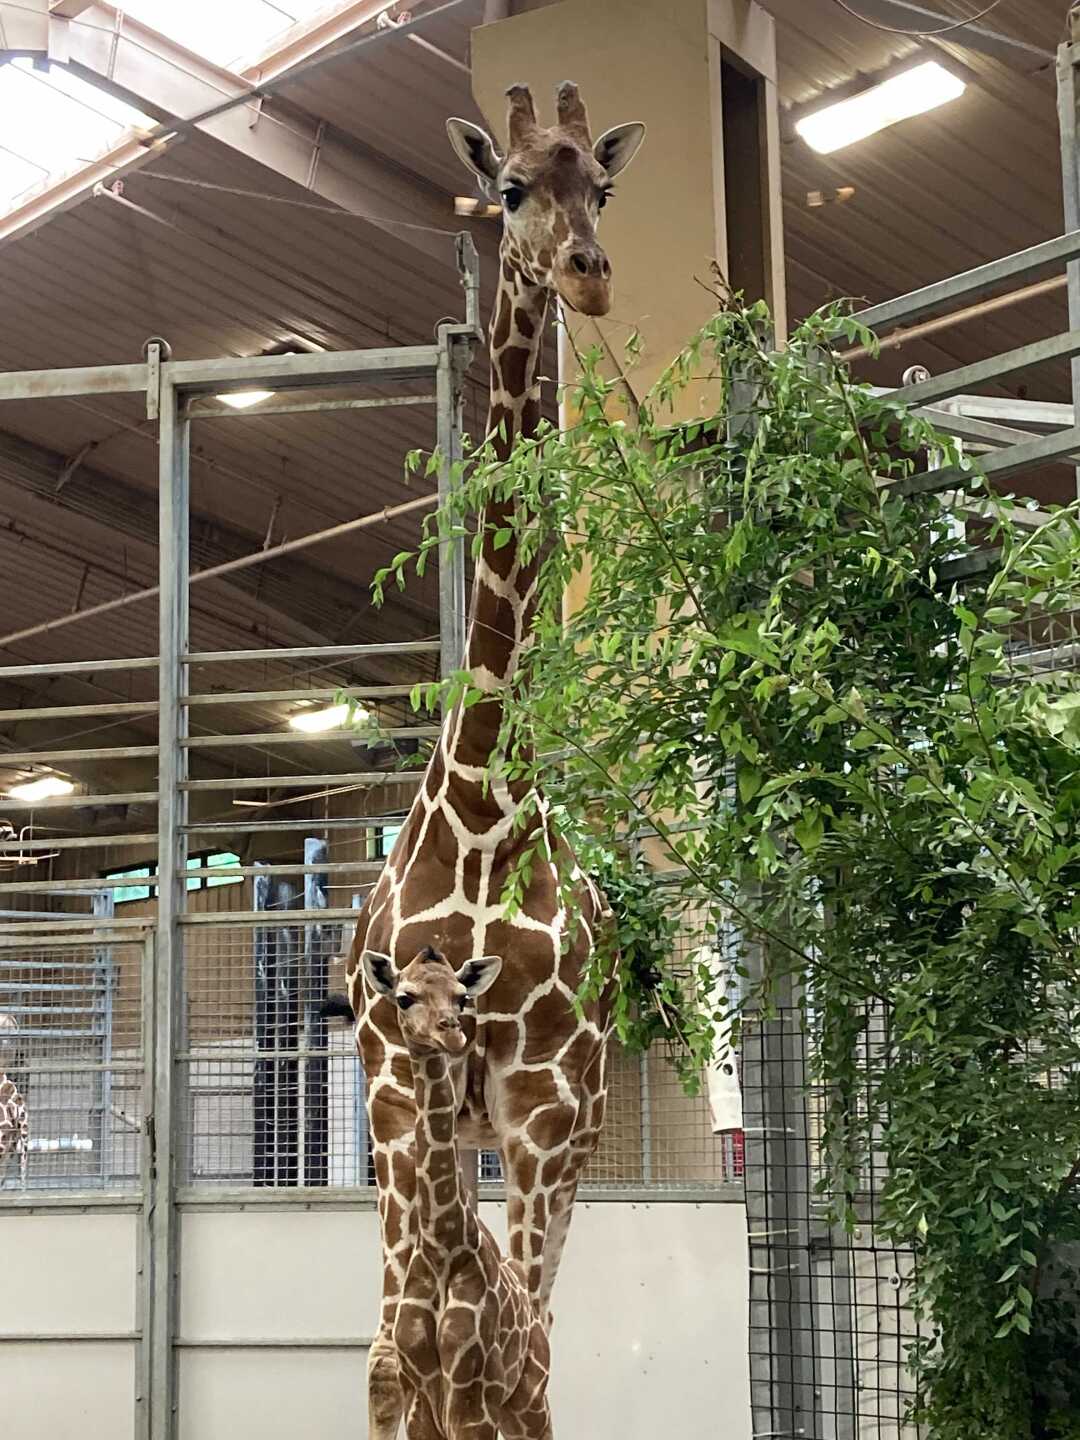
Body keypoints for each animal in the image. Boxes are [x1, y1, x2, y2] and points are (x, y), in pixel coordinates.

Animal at [361, 945, 552, 1440]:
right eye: (405, 997)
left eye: (462, 997)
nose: (451, 1032)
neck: (443, 1243)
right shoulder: (423, 1393)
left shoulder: (472, 1393)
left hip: (529, 1394)